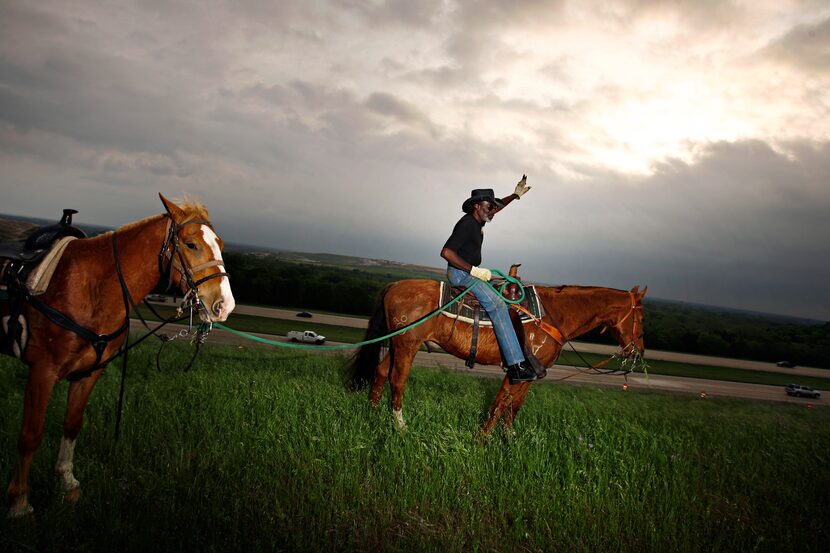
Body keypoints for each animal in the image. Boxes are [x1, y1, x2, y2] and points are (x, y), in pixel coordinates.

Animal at [1, 195, 236, 516]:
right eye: (190, 244)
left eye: (220, 244)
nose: (224, 305)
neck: (90, 287)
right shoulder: (42, 370)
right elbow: (30, 434)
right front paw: (19, 501)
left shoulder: (89, 373)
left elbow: (72, 424)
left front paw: (66, 481)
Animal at [348, 280, 648, 432]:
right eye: (642, 317)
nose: (639, 351)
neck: (552, 314)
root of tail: (396, 284)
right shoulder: (517, 370)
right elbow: (498, 405)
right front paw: (482, 442)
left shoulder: (532, 374)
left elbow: (513, 408)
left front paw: (508, 439)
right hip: (407, 346)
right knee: (397, 381)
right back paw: (401, 426)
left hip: (399, 344)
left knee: (381, 372)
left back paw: (372, 413)